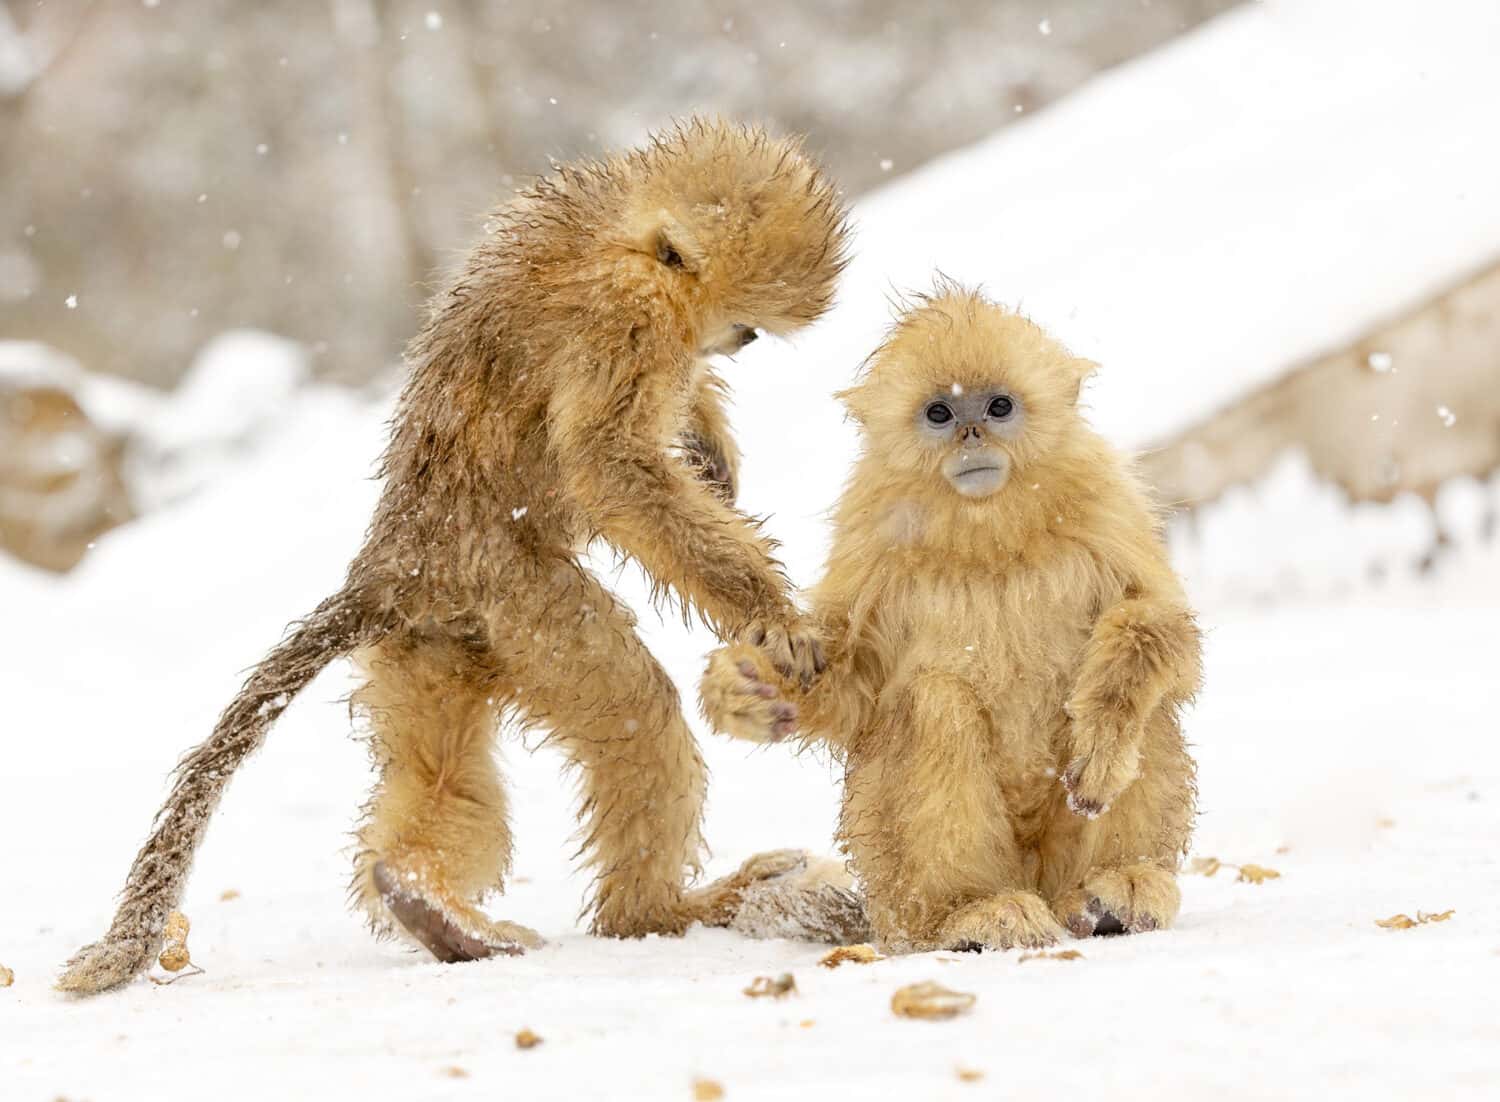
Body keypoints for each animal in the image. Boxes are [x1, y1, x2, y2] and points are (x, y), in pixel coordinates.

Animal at [58, 120, 852, 1001]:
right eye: (745, 322)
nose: (739, 340)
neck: (616, 225)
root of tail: (400, 559)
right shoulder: (629, 314)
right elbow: (613, 466)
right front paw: (770, 610)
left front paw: (710, 450)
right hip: (514, 595)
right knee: (632, 710)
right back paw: (653, 912)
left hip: (437, 636)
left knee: (440, 768)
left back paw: (420, 893)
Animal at [696, 286, 1200, 959]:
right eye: (939, 413)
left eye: (998, 405)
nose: (970, 432)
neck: (989, 535)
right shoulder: (871, 537)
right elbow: (853, 690)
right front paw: (750, 684)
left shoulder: (1107, 505)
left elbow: (1160, 629)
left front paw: (1104, 738)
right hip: (895, 888)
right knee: (935, 703)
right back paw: (970, 914)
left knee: (1151, 710)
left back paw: (1116, 887)